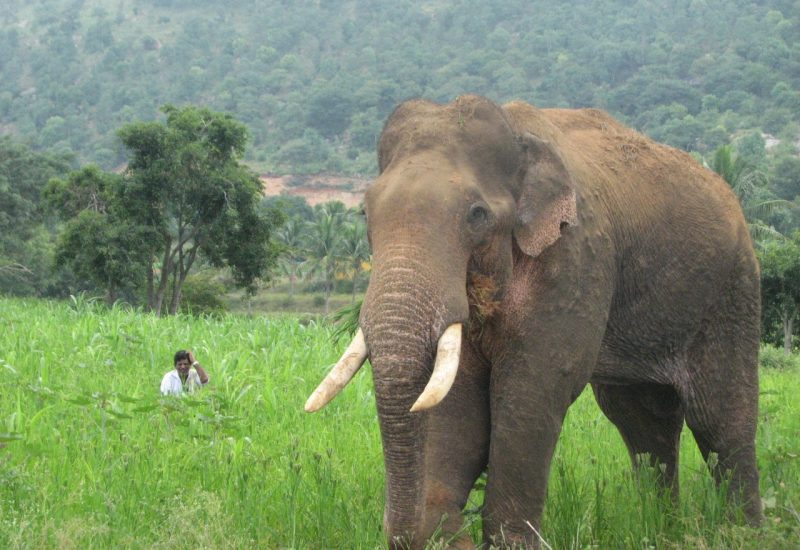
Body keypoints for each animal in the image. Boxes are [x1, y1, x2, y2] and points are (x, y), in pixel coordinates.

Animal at [304, 97, 760, 548]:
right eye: (366, 214)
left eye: (477, 215)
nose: (436, 528)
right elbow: (459, 400)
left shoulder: (574, 257)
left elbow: (534, 386)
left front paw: (506, 543)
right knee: (640, 418)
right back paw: (663, 530)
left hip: (731, 291)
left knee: (719, 417)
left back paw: (742, 532)